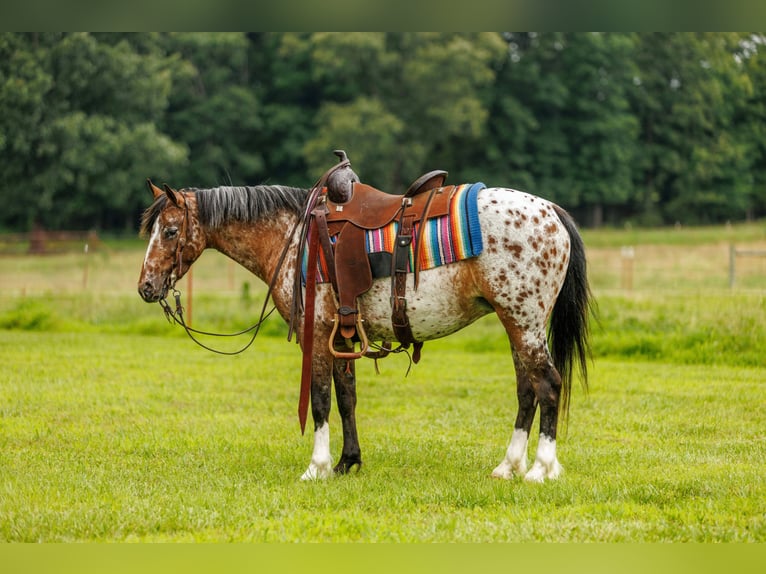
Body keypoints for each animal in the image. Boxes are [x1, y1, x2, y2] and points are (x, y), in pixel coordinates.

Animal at [137, 178, 592, 482]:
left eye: (171, 231)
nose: (145, 286)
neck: (294, 238)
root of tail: (552, 211)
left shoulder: (318, 335)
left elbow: (320, 400)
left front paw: (317, 467)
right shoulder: (342, 337)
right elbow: (346, 399)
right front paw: (347, 462)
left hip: (523, 322)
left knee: (549, 385)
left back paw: (541, 468)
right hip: (517, 324)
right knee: (527, 390)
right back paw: (508, 465)